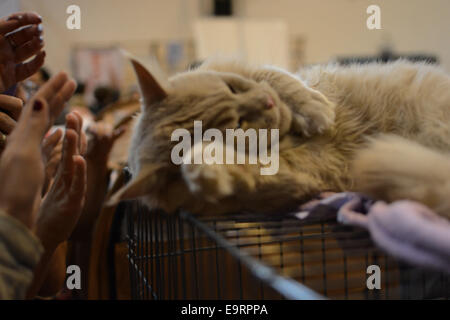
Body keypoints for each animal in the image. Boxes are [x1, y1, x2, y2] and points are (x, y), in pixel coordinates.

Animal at [108, 56, 450, 219]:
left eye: (233, 88)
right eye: (236, 126)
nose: (268, 103)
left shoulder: (266, 74)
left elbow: (279, 77)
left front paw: (316, 109)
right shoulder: (296, 177)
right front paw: (204, 168)